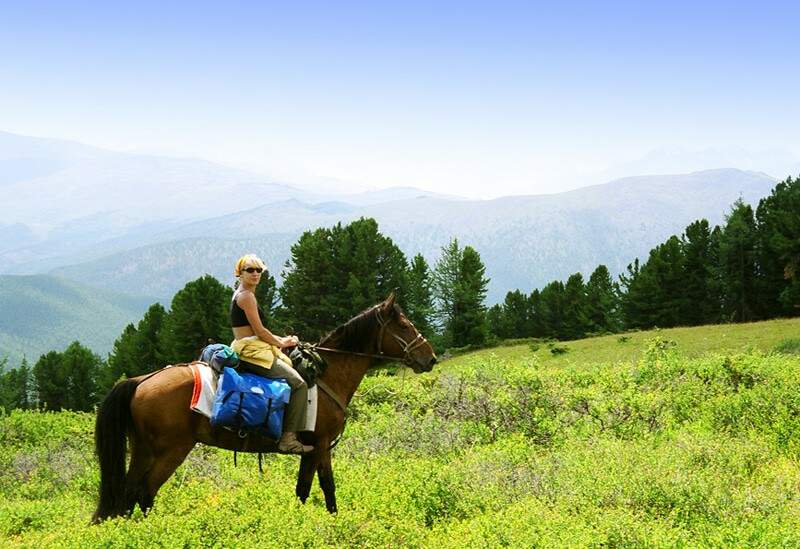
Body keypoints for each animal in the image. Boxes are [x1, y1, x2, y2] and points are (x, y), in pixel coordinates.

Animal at [93, 296, 438, 524]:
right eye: (404, 325)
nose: (430, 358)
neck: (327, 374)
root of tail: (142, 380)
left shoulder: (310, 449)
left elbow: (304, 489)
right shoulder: (321, 445)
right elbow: (326, 488)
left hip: (142, 449)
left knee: (127, 493)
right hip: (172, 450)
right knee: (145, 492)